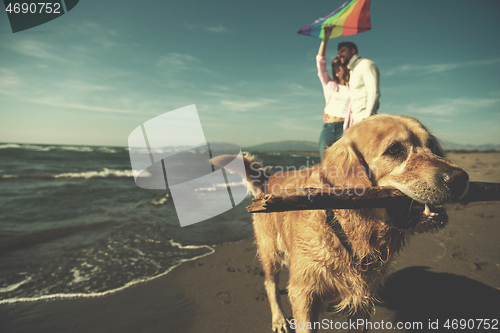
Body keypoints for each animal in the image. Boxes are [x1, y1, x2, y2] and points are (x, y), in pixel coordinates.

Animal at [214, 113, 468, 330]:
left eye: (432, 146)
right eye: (395, 149)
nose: (460, 178)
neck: (347, 231)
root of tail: (269, 178)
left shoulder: (362, 299)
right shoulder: (304, 294)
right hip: (270, 251)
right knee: (270, 285)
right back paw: (278, 319)